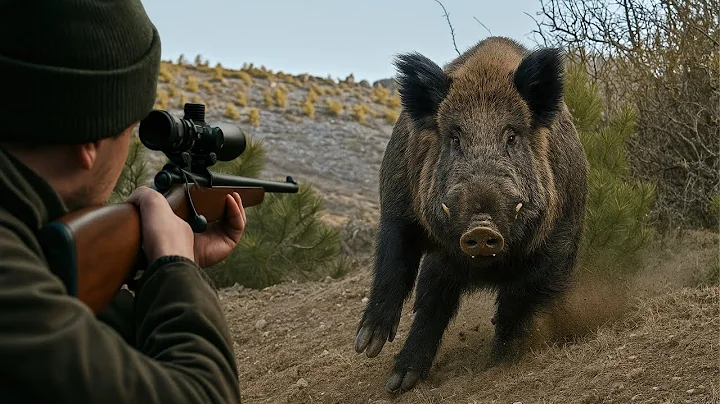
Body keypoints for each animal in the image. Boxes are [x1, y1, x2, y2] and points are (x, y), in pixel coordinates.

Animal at [354, 36, 589, 394]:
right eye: (454, 138)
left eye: (511, 136)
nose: (480, 228)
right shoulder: (397, 206)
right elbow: (396, 262)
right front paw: (367, 347)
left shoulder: (560, 235)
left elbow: (519, 299)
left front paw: (502, 361)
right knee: (432, 301)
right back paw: (397, 382)